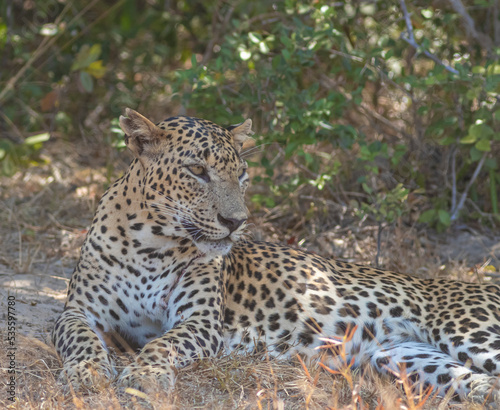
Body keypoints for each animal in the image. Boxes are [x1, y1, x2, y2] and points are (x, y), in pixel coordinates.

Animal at [52, 107, 498, 406]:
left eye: (241, 174)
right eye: (197, 171)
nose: (235, 222)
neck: (152, 244)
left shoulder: (200, 321)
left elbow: (165, 344)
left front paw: (144, 375)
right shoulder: (77, 311)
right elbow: (80, 339)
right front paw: (88, 372)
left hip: (470, 332)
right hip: (401, 356)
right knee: (474, 381)